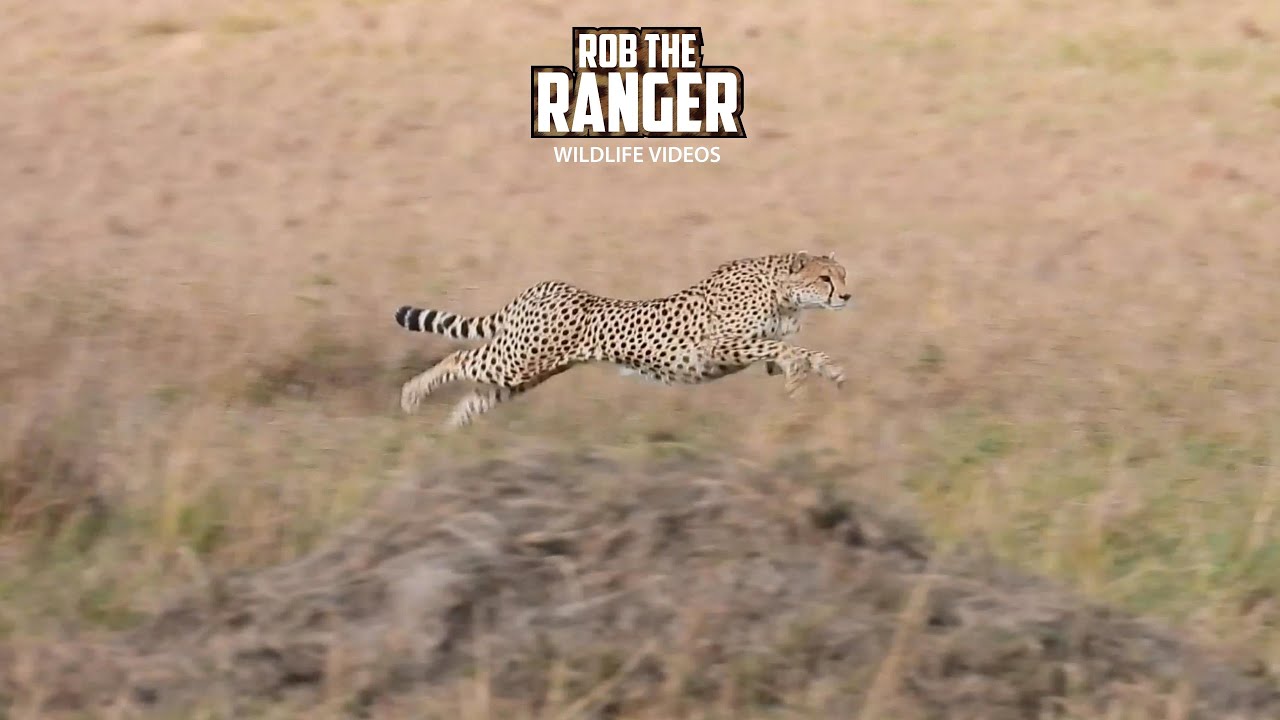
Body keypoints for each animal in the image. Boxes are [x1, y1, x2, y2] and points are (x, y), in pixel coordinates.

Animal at [394, 251, 853, 429]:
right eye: (825, 278)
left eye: (843, 275)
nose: (847, 296)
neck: (782, 290)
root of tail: (545, 286)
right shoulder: (719, 346)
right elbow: (786, 349)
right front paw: (799, 376)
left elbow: (804, 350)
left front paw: (831, 372)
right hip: (518, 359)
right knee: (457, 360)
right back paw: (412, 397)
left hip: (526, 374)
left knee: (475, 400)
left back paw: (450, 437)